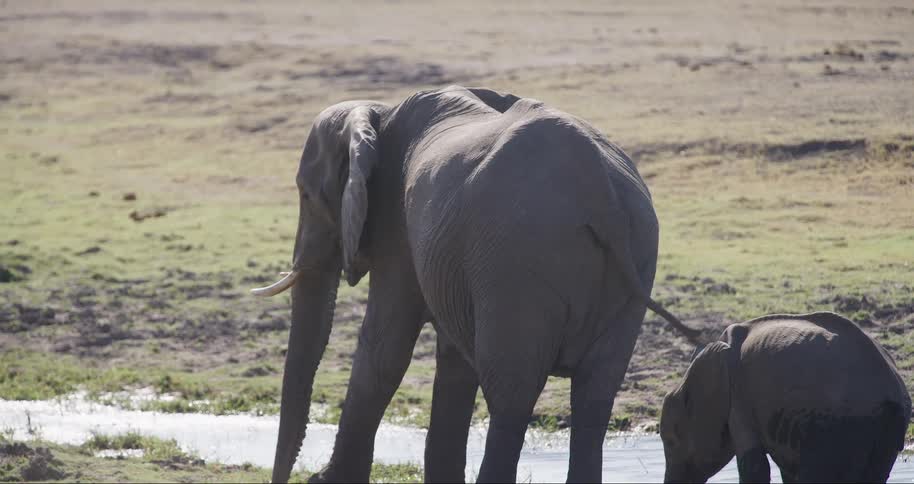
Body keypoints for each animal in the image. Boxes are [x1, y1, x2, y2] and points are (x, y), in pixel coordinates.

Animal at [250, 85, 699, 483]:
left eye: (306, 196)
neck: (378, 113)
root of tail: (600, 195)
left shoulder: (398, 228)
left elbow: (384, 348)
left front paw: (327, 481)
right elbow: (452, 362)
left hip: (517, 262)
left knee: (511, 397)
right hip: (632, 254)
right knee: (595, 395)